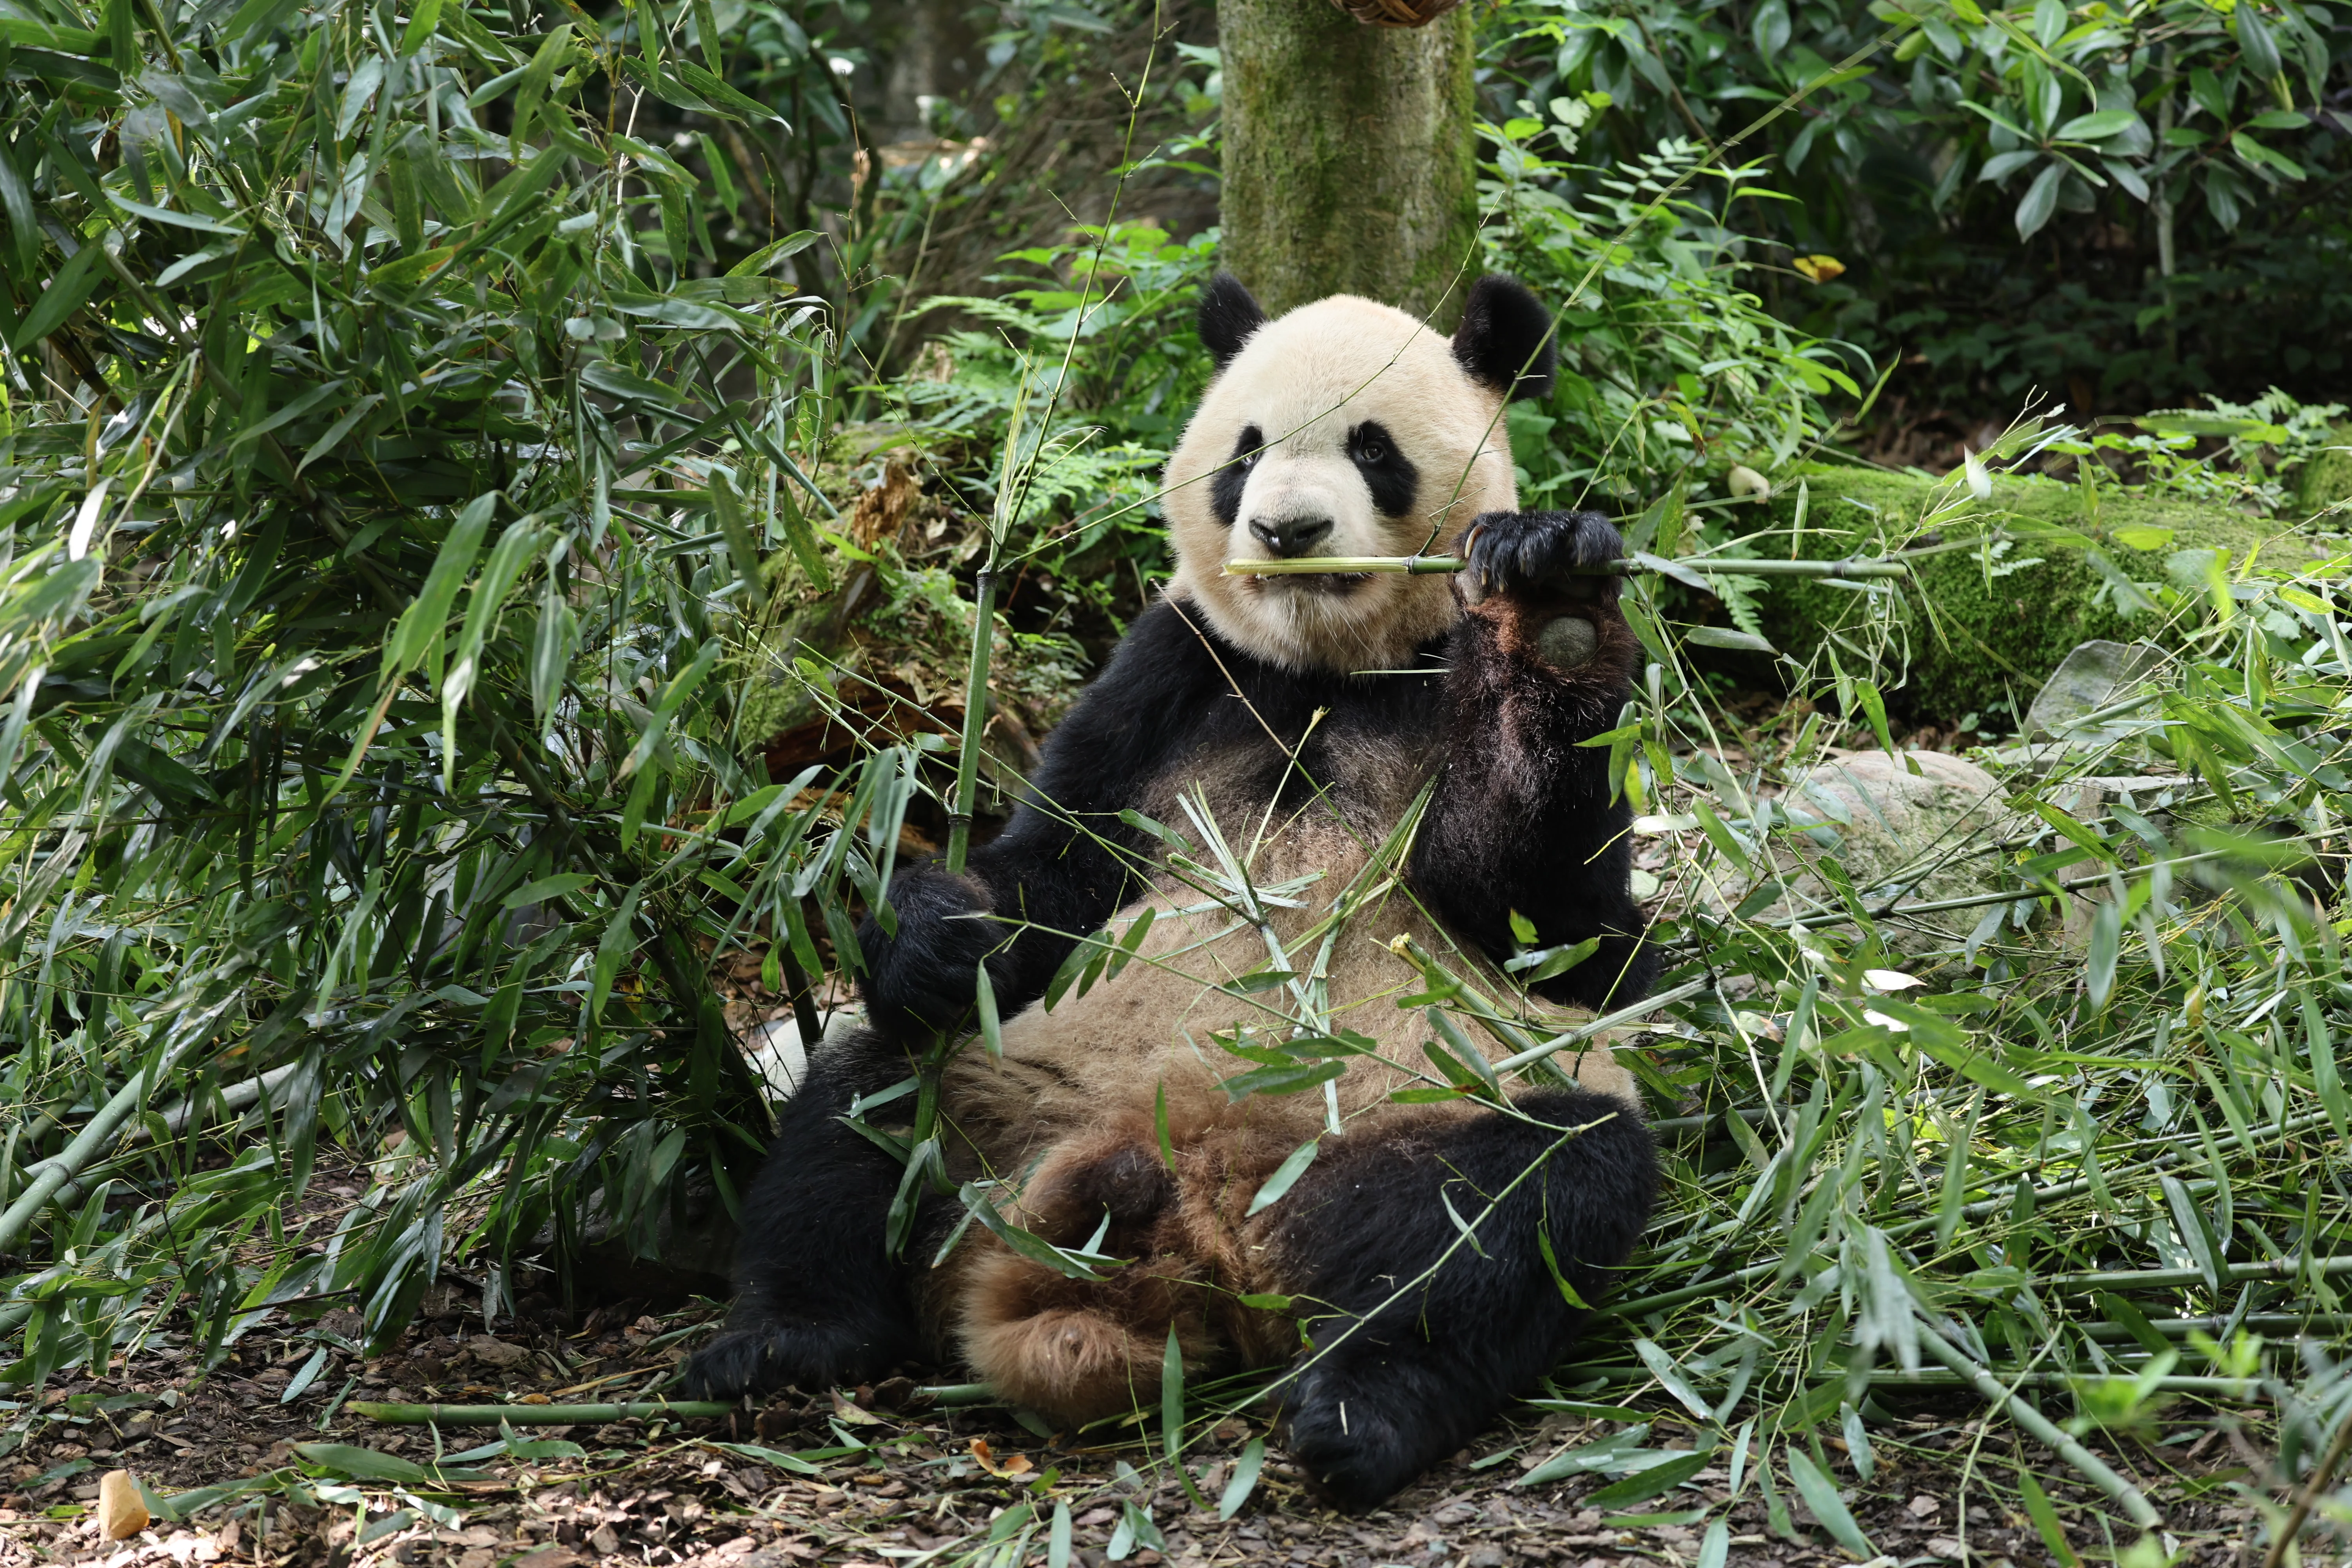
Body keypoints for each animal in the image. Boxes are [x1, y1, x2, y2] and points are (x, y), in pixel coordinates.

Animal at [684, 272, 1660, 1507]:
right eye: (1245, 452)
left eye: (1372, 448)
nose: (1286, 531)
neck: (1327, 666)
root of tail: (1203, 1206)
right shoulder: (1174, 668)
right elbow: (1052, 868)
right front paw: (939, 926)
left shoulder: (1441, 693)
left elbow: (1560, 928)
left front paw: (1553, 601)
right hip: (1007, 1087)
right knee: (862, 1103)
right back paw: (780, 1340)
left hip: (1424, 1100)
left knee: (1514, 1205)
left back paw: (1366, 1407)